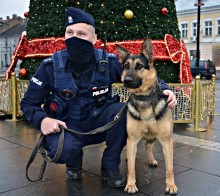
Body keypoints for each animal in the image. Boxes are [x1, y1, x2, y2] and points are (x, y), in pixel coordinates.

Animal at [116, 39, 178, 195]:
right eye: (126, 66)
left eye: (139, 66)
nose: (126, 80)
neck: (144, 97)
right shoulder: (132, 140)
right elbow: (131, 168)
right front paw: (130, 185)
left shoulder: (167, 141)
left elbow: (170, 168)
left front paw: (171, 185)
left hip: (153, 136)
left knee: (148, 145)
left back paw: (151, 160)